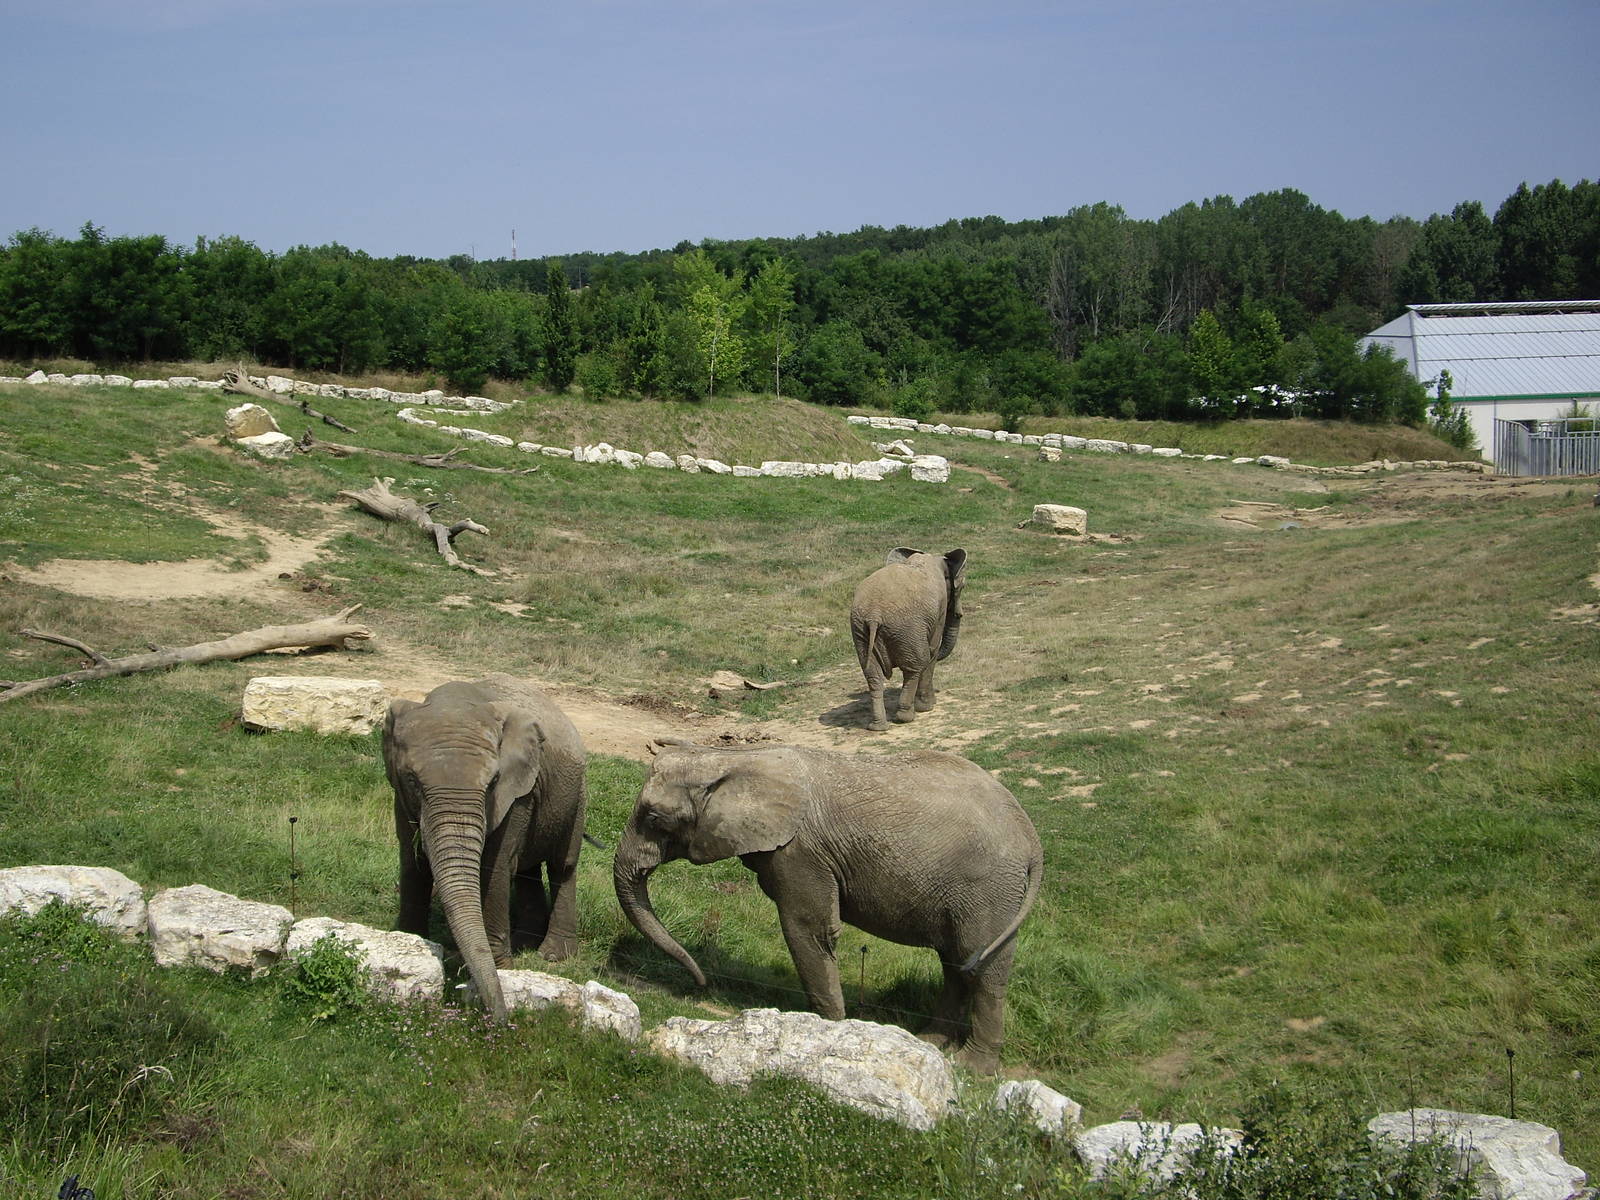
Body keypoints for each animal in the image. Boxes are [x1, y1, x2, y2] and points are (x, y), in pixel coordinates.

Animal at [384, 675, 587, 1023]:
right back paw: (523, 941)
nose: (502, 1021)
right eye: (412, 780)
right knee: (528, 871)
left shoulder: (518, 791)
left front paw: (503, 970)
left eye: (492, 782)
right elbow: (413, 860)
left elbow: (495, 866)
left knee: (563, 867)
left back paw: (551, 957)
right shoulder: (399, 793)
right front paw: (410, 940)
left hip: (577, 795)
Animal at [612, 741, 1042, 1073]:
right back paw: (931, 1043)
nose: (701, 984)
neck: (733, 759)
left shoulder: (800, 852)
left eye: (654, 818)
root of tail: (1031, 837)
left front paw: (829, 1031)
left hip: (989, 889)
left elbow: (808, 927)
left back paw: (971, 1067)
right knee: (955, 964)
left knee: (982, 966)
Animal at [850, 547, 967, 731]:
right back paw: (906, 716)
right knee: (915, 667)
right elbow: (932, 650)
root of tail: (874, 614)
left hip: (861, 631)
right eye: (962, 586)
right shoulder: (939, 606)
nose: (959, 613)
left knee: (873, 675)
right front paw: (928, 707)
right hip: (905, 629)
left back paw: (877, 727)